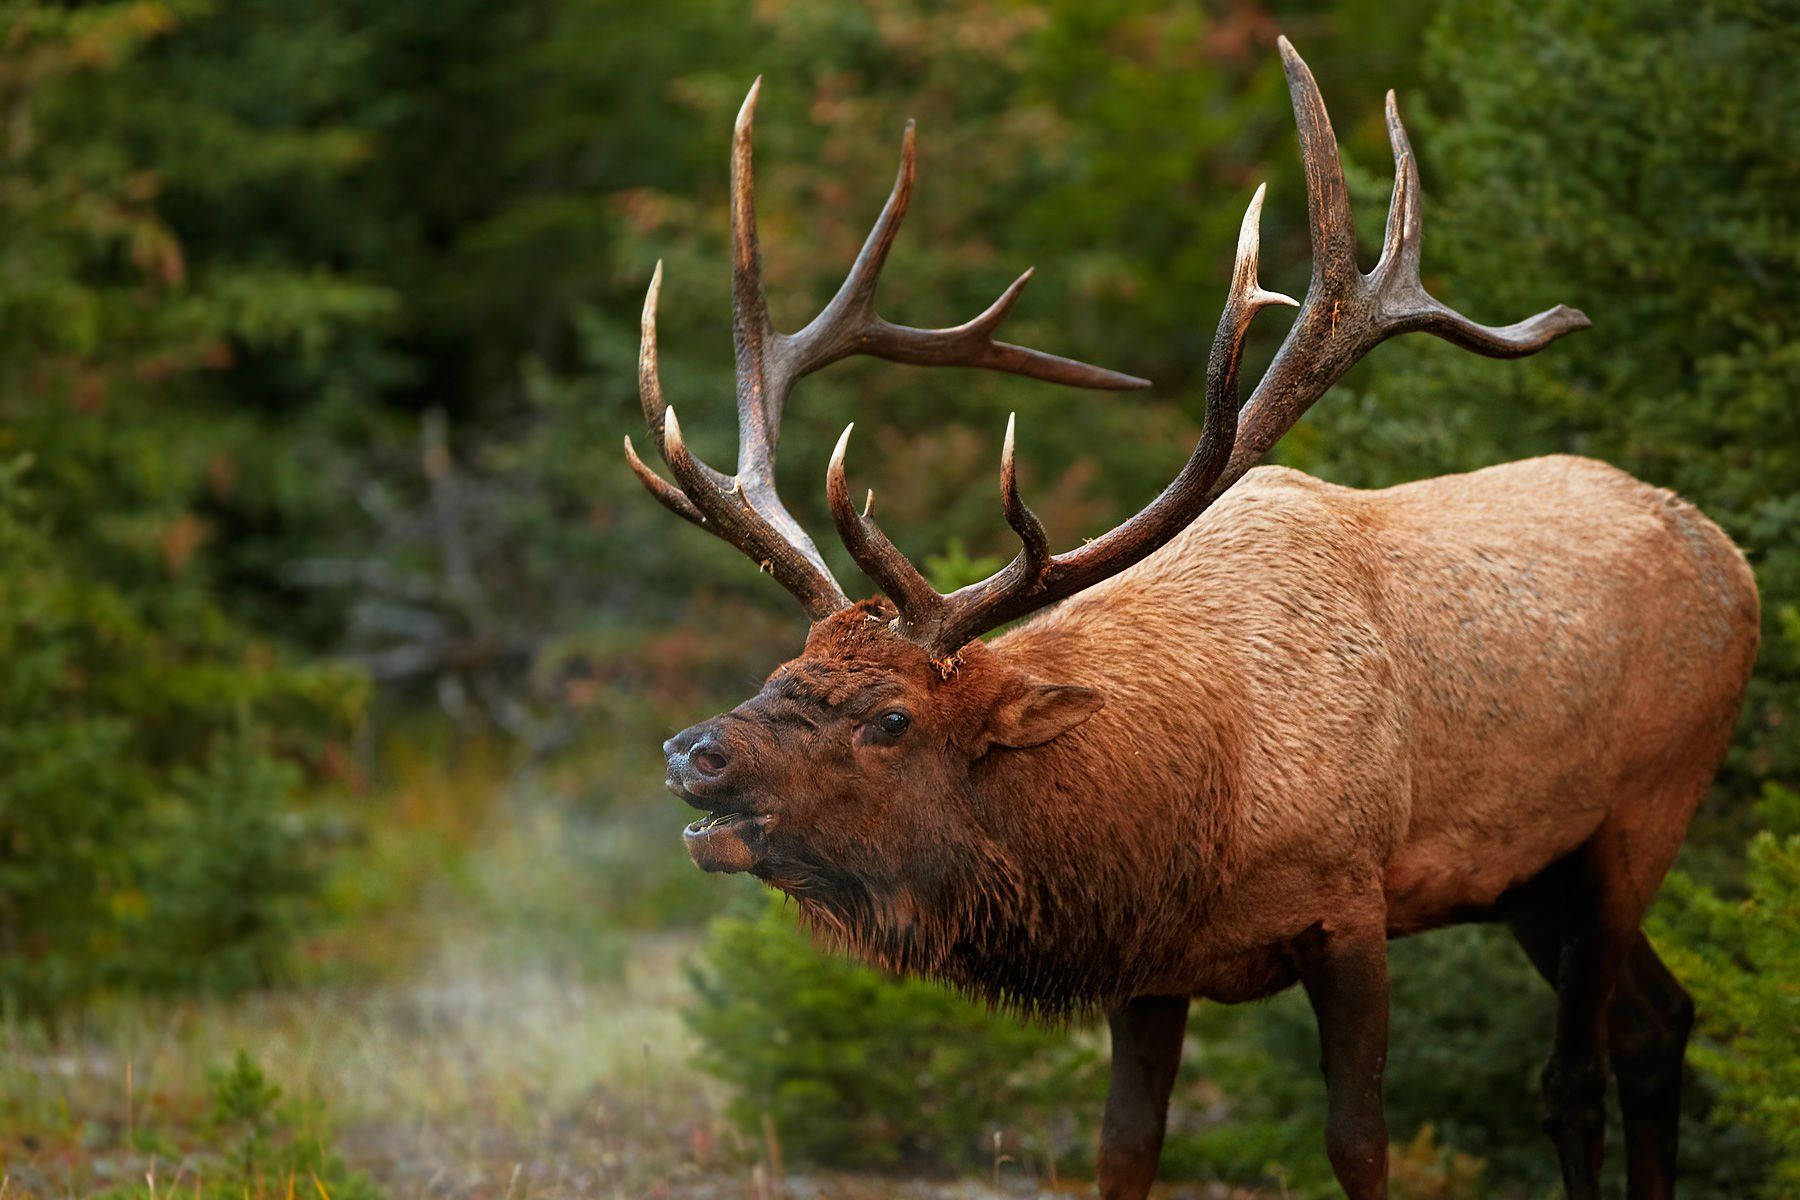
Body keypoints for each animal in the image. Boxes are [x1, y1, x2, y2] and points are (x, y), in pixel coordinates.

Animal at [623, 38, 1759, 1200]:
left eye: (892, 719)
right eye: (781, 670)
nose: (692, 752)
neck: (1185, 814)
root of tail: (1728, 553)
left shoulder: (1352, 907)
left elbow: (1359, 1145)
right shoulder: (1146, 964)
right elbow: (1124, 1148)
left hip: (1643, 812)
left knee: (1575, 1071)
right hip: (1532, 875)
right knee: (1659, 1023)